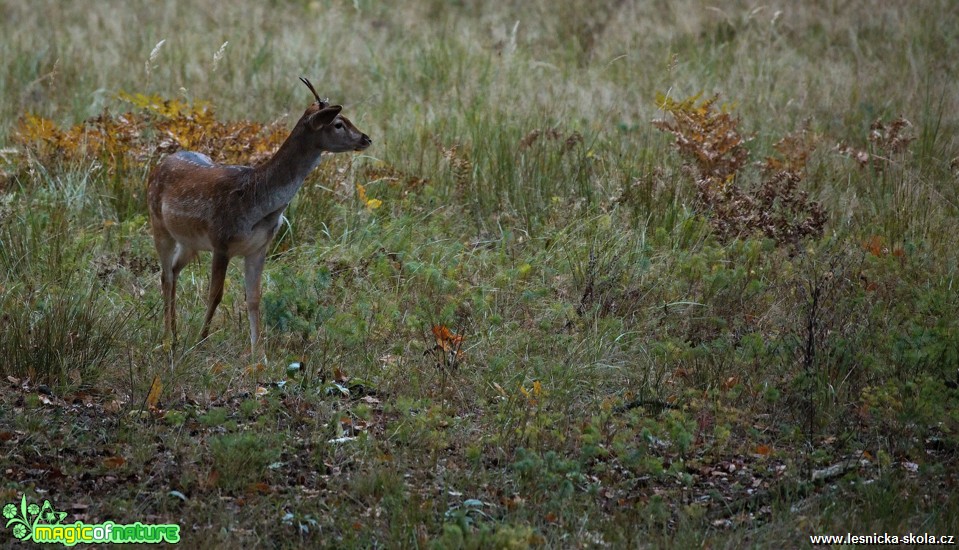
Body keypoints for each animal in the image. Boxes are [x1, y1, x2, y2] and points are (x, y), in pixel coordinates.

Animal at [146, 76, 372, 354]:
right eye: (339, 123)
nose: (366, 138)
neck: (258, 204)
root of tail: (160, 164)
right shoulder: (221, 240)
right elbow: (215, 295)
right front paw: (201, 341)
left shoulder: (259, 247)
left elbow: (254, 298)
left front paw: (258, 351)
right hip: (158, 224)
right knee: (165, 275)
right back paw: (168, 338)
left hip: (190, 241)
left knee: (175, 270)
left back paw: (176, 335)